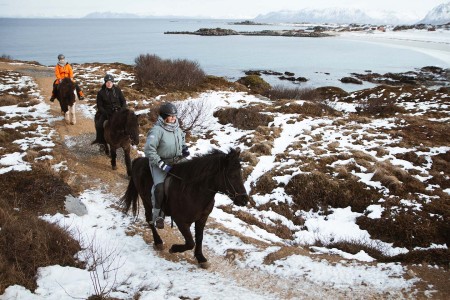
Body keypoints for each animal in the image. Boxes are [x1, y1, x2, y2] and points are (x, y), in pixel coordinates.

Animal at [119, 149, 250, 268]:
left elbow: (199, 238)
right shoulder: (180, 220)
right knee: (149, 218)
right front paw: (174, 248)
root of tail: (138, 160)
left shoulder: (202, 218)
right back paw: (158, 241)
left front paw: (201, 258)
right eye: (232, 175)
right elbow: (190, 242)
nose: (244, 199)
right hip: (146, 200)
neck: (194, 190)